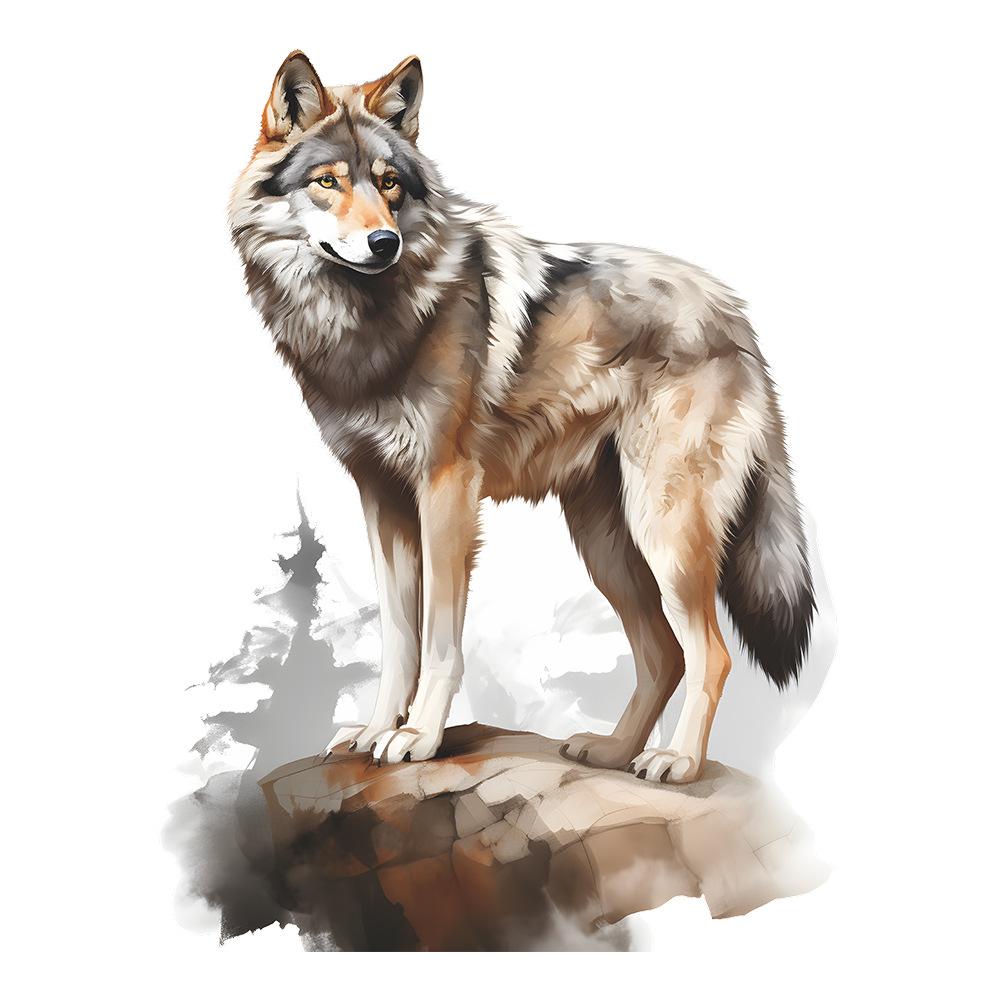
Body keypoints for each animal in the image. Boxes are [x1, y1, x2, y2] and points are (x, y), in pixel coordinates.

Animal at [230, 52, 815, 783]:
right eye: (327, 182)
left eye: (389, 184)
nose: (384, 242)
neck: (365, 324)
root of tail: (735, 314)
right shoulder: (380, 497)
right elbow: (397, 638)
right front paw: (375, 731)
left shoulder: (446, 491)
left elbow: (439, 639)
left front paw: (418, 737)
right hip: (605, 542)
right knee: (662, 653)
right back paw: (613, 752)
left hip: (664, 531)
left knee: (712, 650)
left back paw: (675, 760)